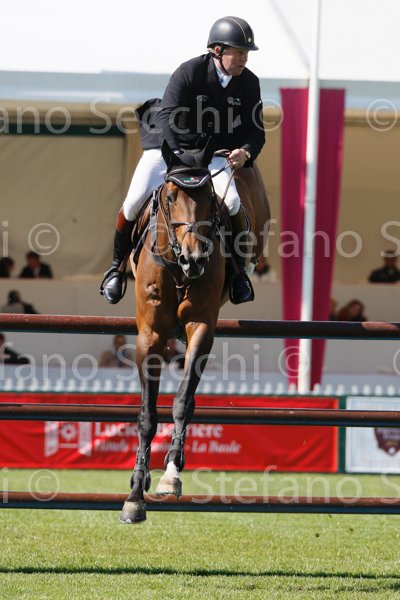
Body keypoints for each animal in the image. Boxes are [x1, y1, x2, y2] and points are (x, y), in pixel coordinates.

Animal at [120, 141, 270, 523]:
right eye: (171, 197)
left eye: (209, 198)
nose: (195, 259)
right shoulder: (150, 335)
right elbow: (147, 414)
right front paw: (135, 495)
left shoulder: (201, 327)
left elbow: (183, 401)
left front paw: (170, 475)